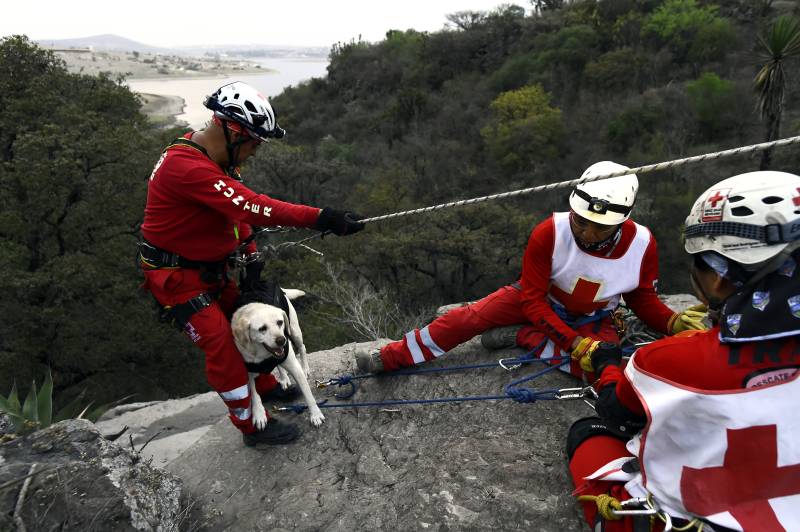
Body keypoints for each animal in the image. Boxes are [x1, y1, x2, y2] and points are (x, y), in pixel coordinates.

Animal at [230, 288, 324, 426]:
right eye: (262, 328)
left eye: (280, 322)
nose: (282, 340)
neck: (262, 353)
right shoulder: (247, 371)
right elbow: (253, 393)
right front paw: (258, 413)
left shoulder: (294, 367)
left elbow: (308, 394)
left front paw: (316, 414)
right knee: (279, 365)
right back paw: (284, 378)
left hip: (294, 331)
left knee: (302, 348)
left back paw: (305, 368)